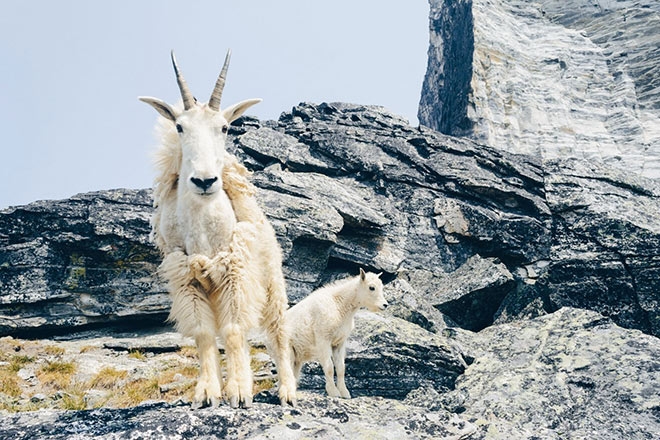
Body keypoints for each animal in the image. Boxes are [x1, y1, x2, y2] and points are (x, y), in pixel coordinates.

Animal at [141, 51, 296, 410]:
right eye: (179, 126)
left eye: (224, 127)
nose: (204, 181)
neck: (201, 228)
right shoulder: (187, 277)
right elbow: (203, 333)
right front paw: (207, 393)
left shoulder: (235, 271)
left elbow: (235, 330)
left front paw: (239, 391)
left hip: (271, 280)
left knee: (278, 331)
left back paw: (287, 391)